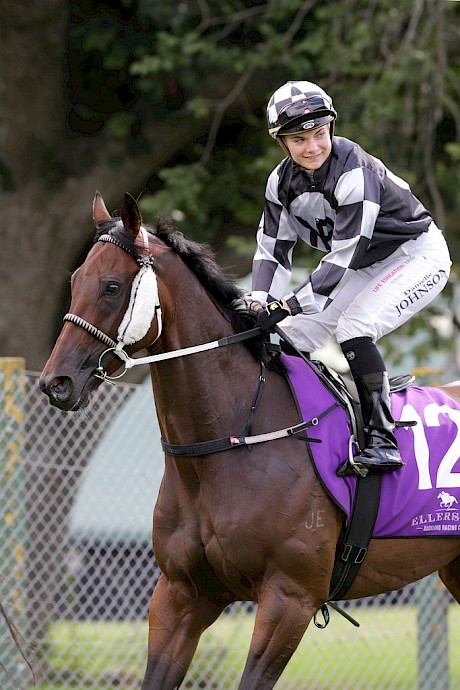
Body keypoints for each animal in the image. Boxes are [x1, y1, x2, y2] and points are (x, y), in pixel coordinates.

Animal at [38, 192, 460, 688]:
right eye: (74, 281)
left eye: (110, 286)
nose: (56, 383)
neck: (229, 442)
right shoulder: (180, 594)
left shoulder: (290, 598)